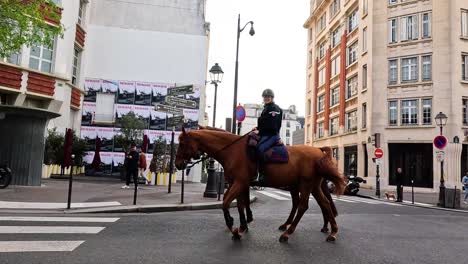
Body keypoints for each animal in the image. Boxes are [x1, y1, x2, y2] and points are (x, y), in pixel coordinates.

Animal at [176, 127, 348, 242]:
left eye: (182, 143)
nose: (177, 165)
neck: (232, 150)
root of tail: (319, 150)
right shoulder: (237, 183)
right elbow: (239, 203)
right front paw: (243, 225)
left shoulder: (240, 183)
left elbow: (226, 203)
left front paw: (234, 227)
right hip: (313, 186)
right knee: (324, 203)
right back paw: (332, 232)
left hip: (306, 185)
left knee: (303, 206)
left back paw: (288, 232)